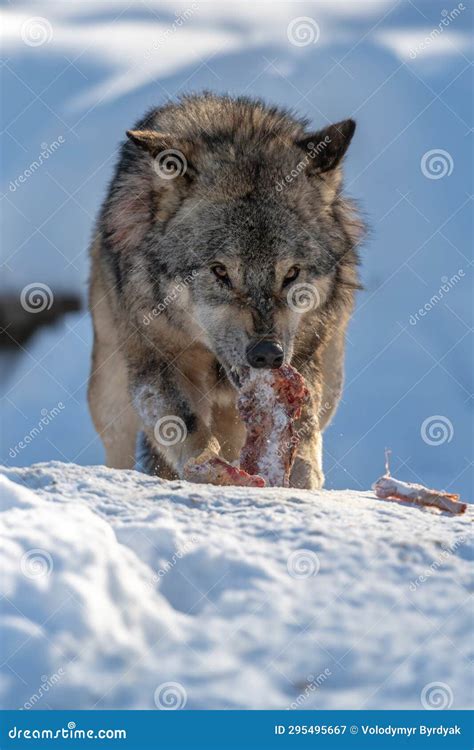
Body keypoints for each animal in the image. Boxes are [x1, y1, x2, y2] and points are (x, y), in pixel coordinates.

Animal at [88, 93, 363, 489]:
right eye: (221, 272)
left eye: (291, 274)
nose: (267, 354)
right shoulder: (155, 360)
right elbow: (185, 426)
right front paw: (210, 470)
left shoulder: (302, 362)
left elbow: (303, 428)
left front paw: (300, 479)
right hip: (110, 388)